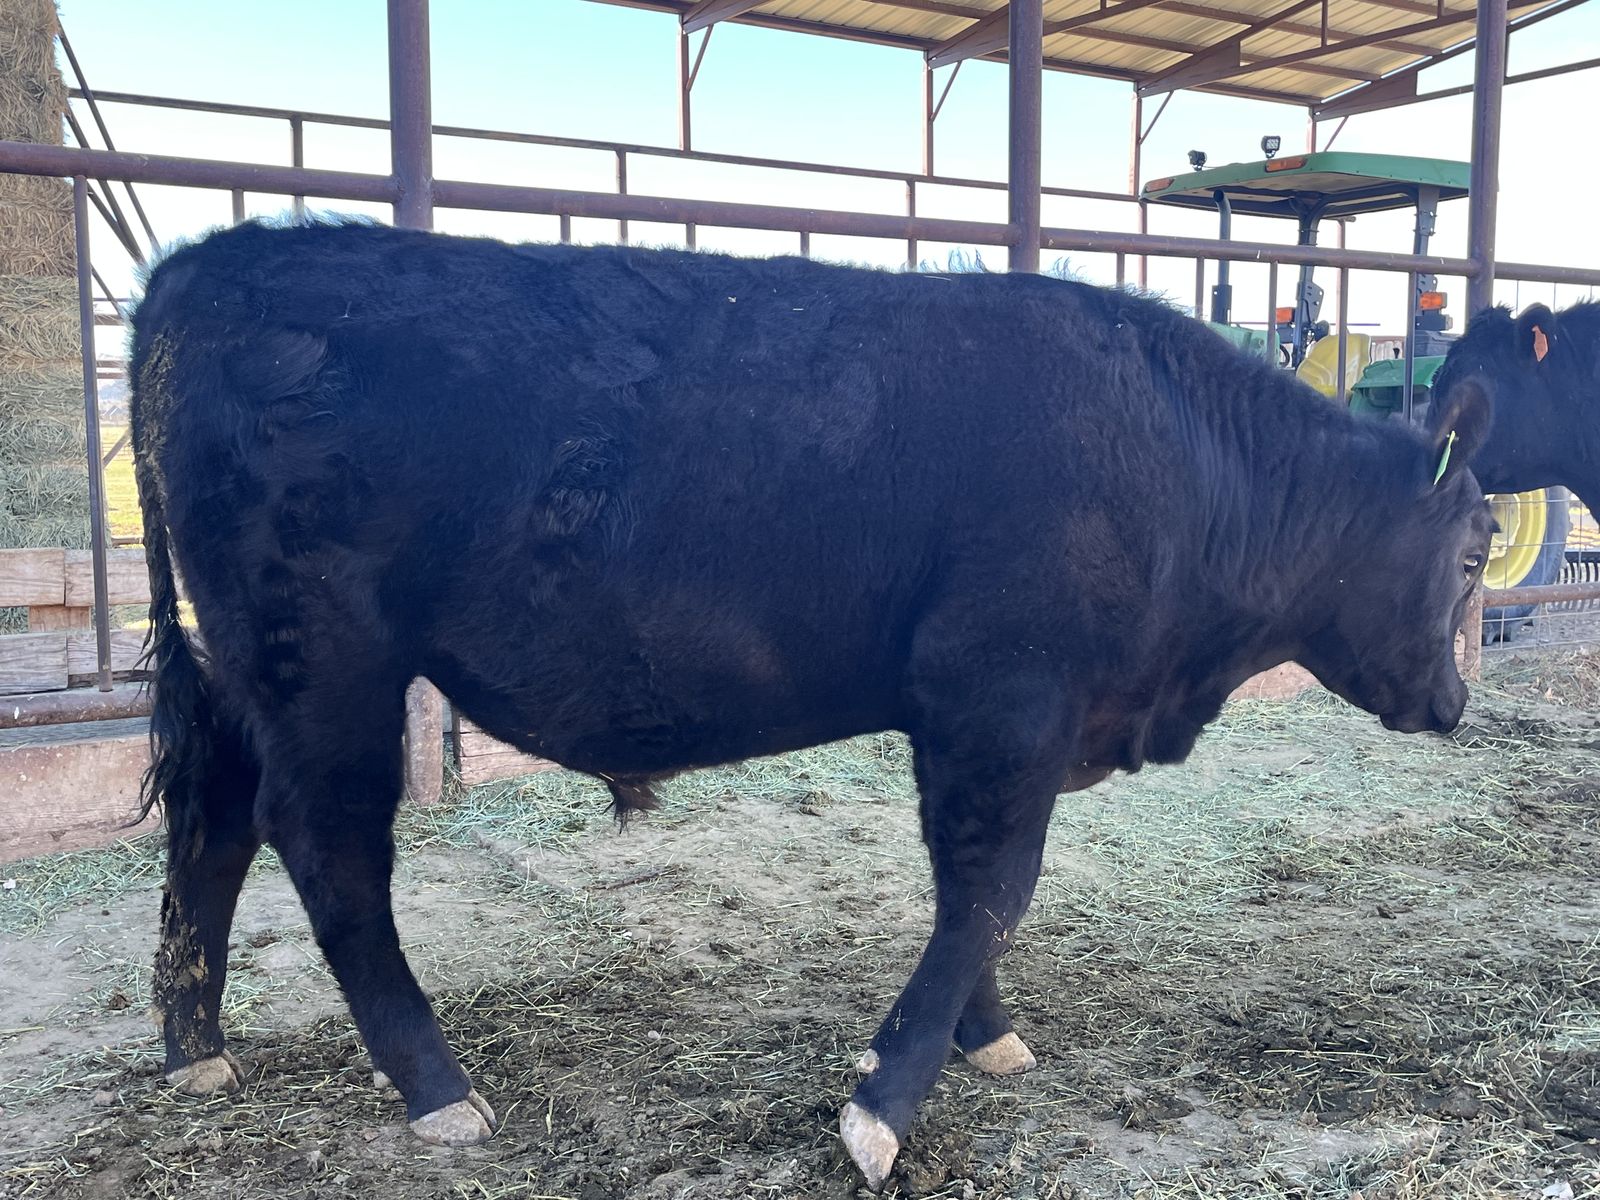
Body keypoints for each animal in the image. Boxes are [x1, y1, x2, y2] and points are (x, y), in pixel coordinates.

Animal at [130, 221, 1494, 1191]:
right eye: (1477, 550)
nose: (1453, 702)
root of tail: (206, 267)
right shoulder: (1004, 695)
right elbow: (991, 892)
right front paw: (883, 1107)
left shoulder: (972, 723)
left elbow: (966, 893)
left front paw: (982, 1037)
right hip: (325, 666)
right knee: (329, 851)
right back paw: (435, 1088)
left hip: (256, 674)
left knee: (216, 820)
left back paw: (196, 1052)